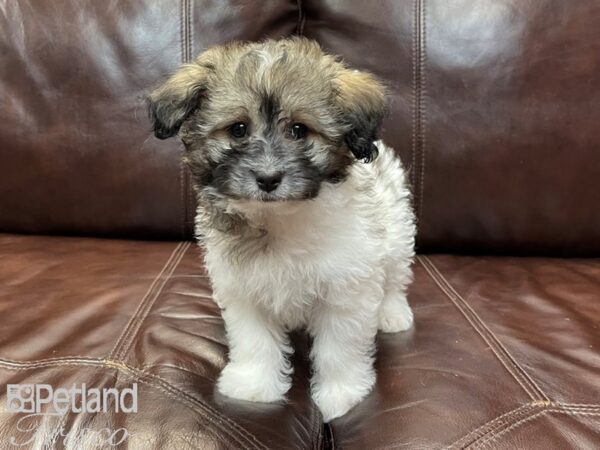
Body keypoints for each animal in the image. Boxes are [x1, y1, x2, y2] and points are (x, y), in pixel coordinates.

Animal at [148, 38, 414, 422]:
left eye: (299, 130)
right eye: (238, 129)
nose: (268, 178)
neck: (278, 218)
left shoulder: (347, 290)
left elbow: (339, 347)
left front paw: (342, 394)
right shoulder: (244, 290)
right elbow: (255, 341)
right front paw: (254, 385)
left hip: (396, 229)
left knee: (394, 276)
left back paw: (392, 314)